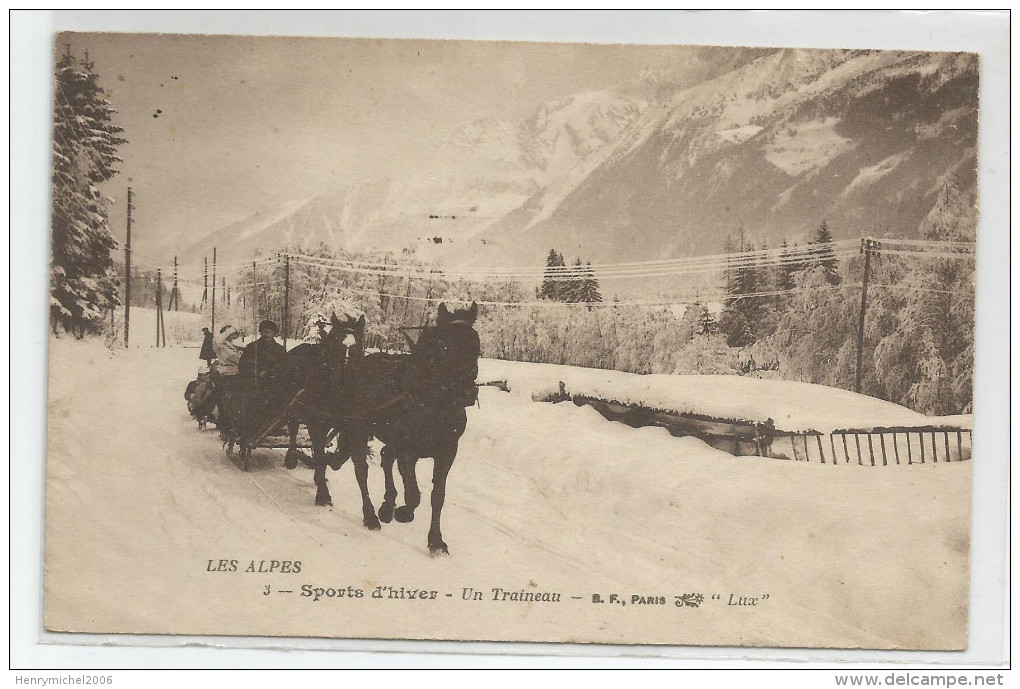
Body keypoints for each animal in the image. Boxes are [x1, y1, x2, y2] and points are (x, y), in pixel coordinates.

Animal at [283, 314, 379, 534]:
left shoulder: (356, 427)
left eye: (359, 348)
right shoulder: (316, 422)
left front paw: (370, 515)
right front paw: (322, 493)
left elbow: (358, 467)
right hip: (294, 407)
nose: (347, 381)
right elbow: (319, 455)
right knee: (292, 428)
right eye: (336, 346)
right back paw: (292, 457)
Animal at [344, 302, 479, 555]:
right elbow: (414, 494)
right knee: (361, 470)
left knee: (386, 457)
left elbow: (438, 496)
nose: (466, 392)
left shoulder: (447, 451)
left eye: (476, 345)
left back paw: (387, 504)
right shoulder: (408, 449)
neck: (434, 402)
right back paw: (372, 515)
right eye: (445, 347)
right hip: (359, 428)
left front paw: (435, 540)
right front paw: (403, 512)